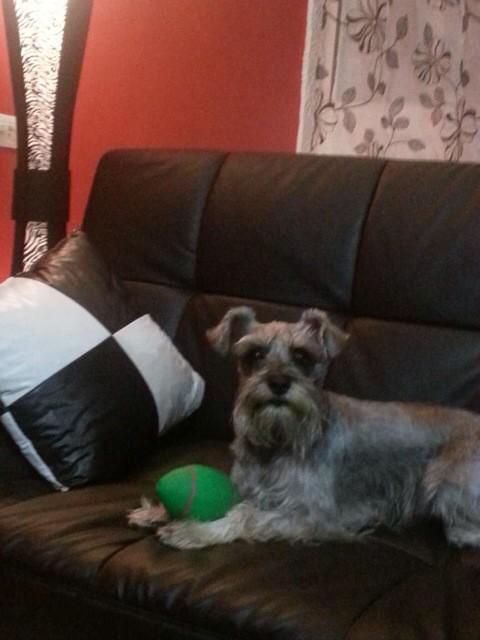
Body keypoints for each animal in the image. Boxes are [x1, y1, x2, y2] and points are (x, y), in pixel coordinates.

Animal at [129, 306, 480, 550]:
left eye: (302, 356)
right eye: (255, 354)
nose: (279, 382)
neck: (277, 441)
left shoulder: (311, 514)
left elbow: (246, 514)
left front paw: (194, 530)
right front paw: (156, 511)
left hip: (445, 483)